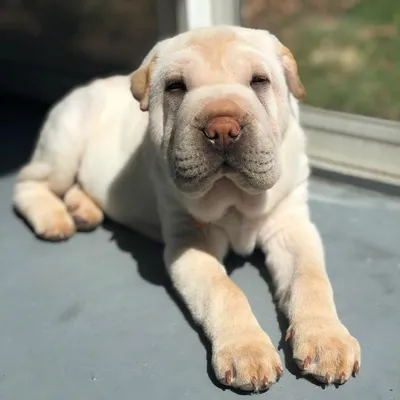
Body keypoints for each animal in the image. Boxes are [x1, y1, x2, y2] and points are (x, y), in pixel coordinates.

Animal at [14, 26, 360, 392]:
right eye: (176, 87)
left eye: (259, 81)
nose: (222, 128)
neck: (232, 194)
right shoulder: (191, 241)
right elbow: (224, 290)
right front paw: (246, 351)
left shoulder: (291, 225)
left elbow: (310, 278)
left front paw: (327, 341)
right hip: (64, 144)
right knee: (28, 182)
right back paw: (54, 218)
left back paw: (83, 209)